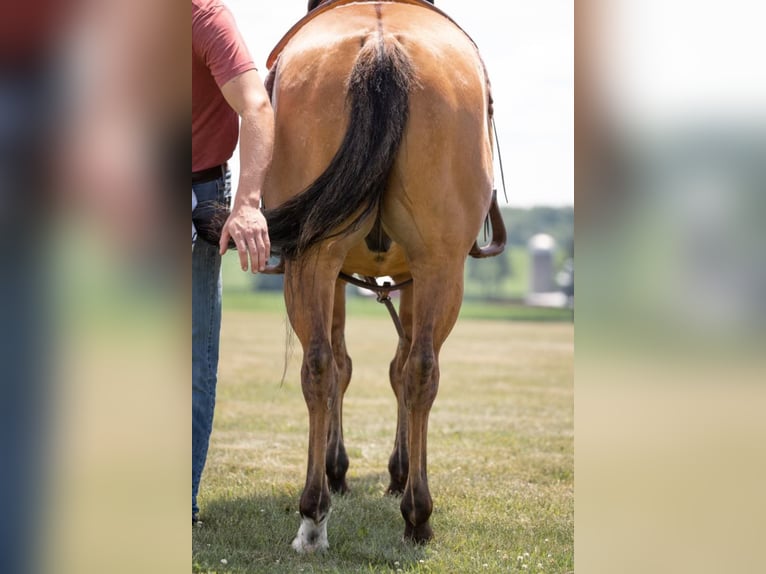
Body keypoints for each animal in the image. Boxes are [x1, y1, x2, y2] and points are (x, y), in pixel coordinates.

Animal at [260, 0, 508, 552]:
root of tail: (380, 45)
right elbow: (383, 367)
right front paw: (383, 471)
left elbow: (359, 365)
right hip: (434, 266)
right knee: (411, 370)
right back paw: (408, 513)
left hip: (325, 260)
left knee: (327, 366)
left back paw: (318, 514)